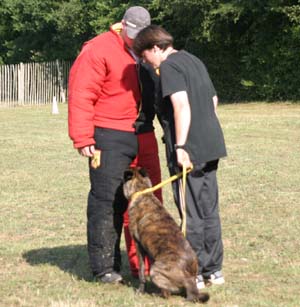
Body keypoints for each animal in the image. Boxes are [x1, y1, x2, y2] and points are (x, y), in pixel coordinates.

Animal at [122, 168, 209, 304]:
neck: (142, 192)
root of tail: (189, 280)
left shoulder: (138, 245)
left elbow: (141, 272)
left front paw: (140, 290)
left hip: (155, 270)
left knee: (167, 294)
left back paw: (156, 295)